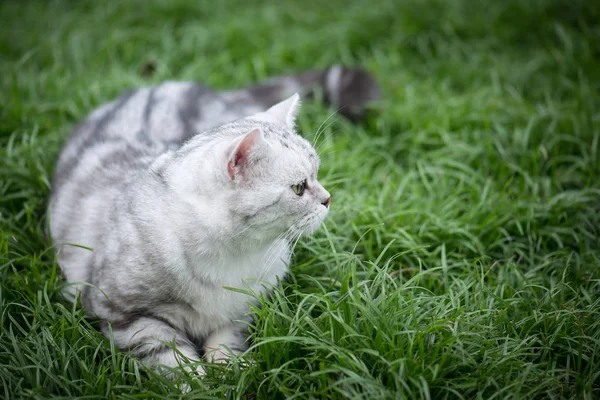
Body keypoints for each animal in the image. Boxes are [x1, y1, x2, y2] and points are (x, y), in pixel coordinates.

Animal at [48, 66, 380, 376]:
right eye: (299, 187)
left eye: (317, 173)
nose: (327, 198)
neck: (232, 255)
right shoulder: (126, 315)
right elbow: (170, 357)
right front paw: (195, 382)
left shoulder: (243, 307)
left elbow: (227, 340)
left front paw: (232, 368)